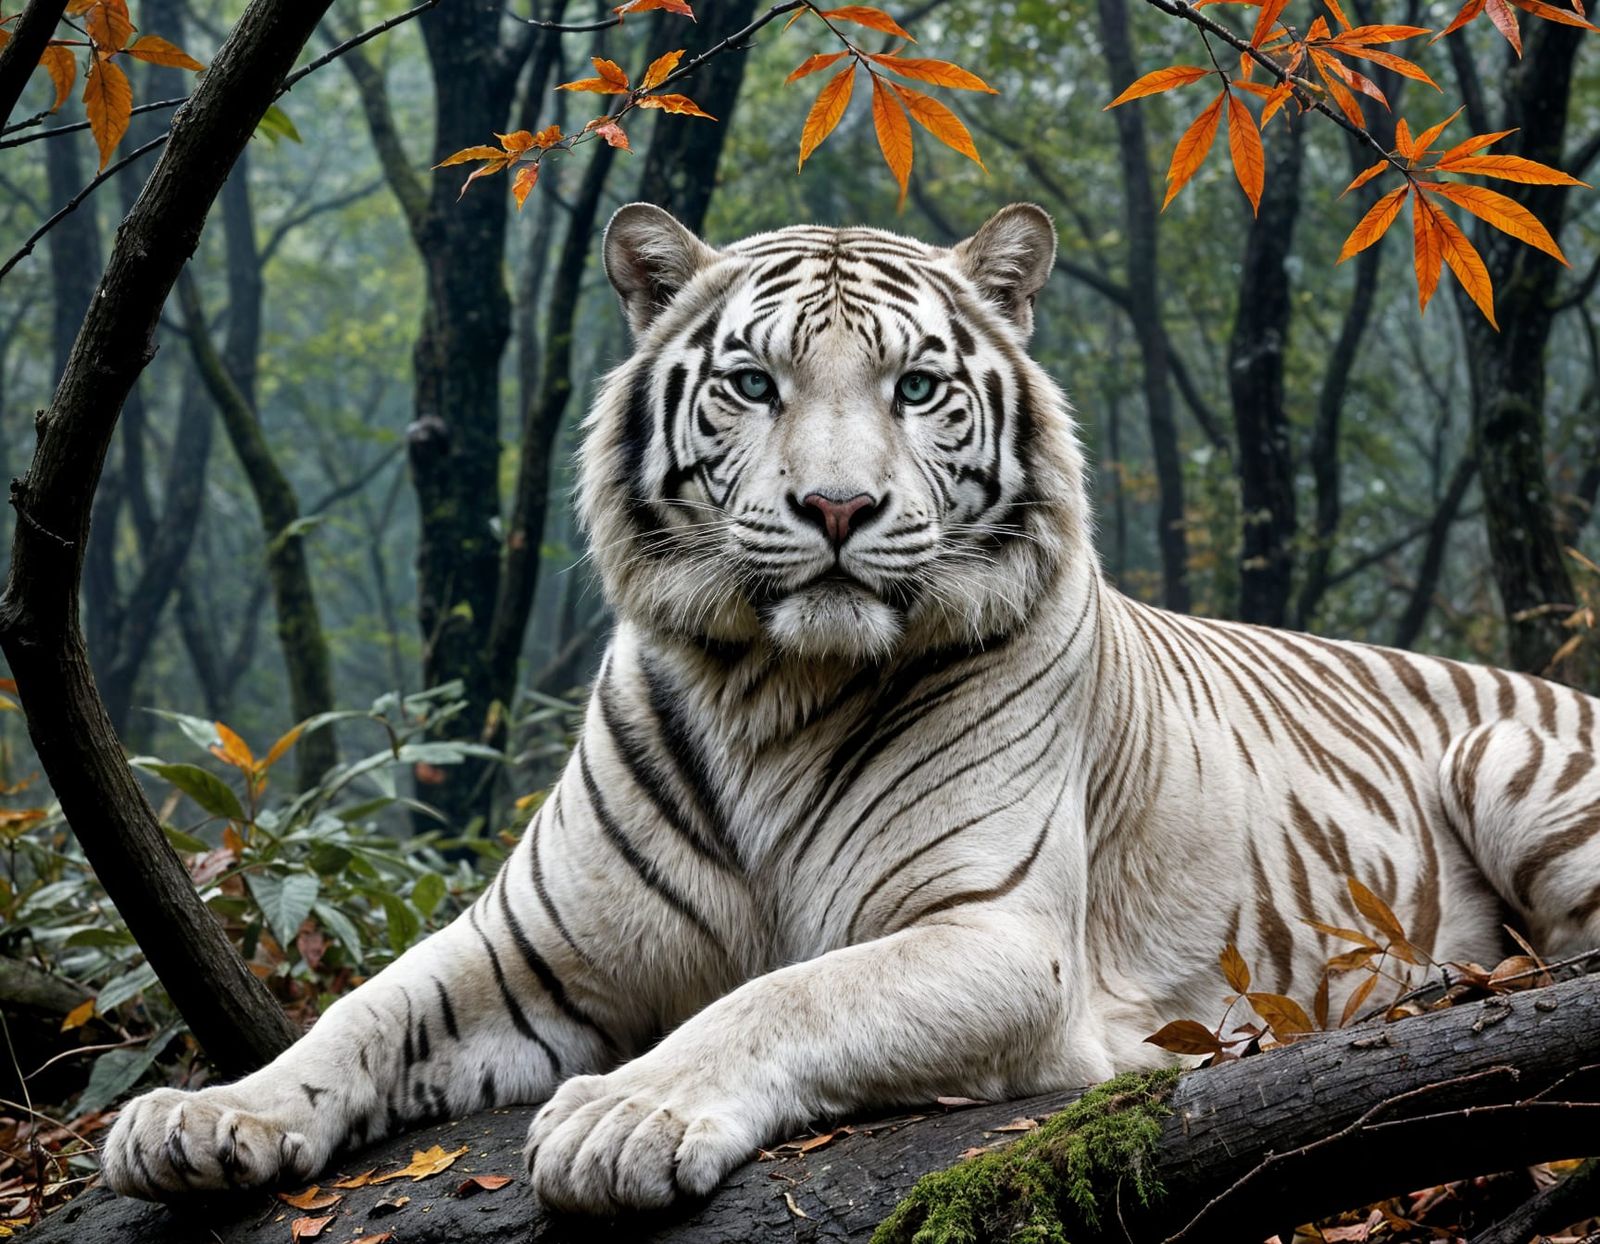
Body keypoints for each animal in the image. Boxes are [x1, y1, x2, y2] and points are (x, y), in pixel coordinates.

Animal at [103, 202, 1600, 1215]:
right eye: (753, 382)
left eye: (917, 387)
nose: (838, 507)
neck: (770, 687)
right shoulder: (525, 948)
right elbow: (359, 1015)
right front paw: (206, 1117)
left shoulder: (991, 933)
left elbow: (783, 994)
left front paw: (625, 1112)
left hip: (1509, 760)